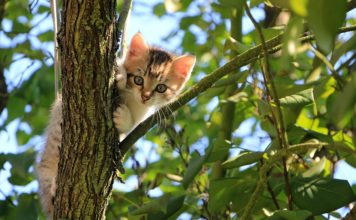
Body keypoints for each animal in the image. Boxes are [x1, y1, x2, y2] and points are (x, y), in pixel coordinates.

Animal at [36, 32, 195, 217]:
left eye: (161, 88)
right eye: (139, 79)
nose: (145, 96)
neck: (133, 99)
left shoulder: (141, 116)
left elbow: (132, 125)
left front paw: (123, 118)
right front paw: (120, 76)